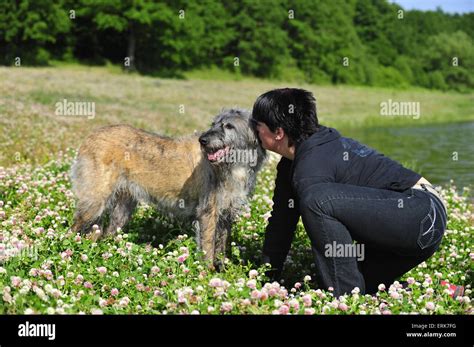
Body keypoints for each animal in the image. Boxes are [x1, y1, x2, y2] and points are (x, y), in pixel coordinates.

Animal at [70, 109, 264, 266]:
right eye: (213, 124)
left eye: (229, 126)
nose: (203, 140)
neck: (235, 165)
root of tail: (91, 135)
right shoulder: (208, 211)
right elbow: (208, 246)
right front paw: (208, 272)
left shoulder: (227, 214)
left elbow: (221, 245)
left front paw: (221, 269)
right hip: (95, 200)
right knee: (74, 229)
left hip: (123, 208)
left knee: (108, 232)